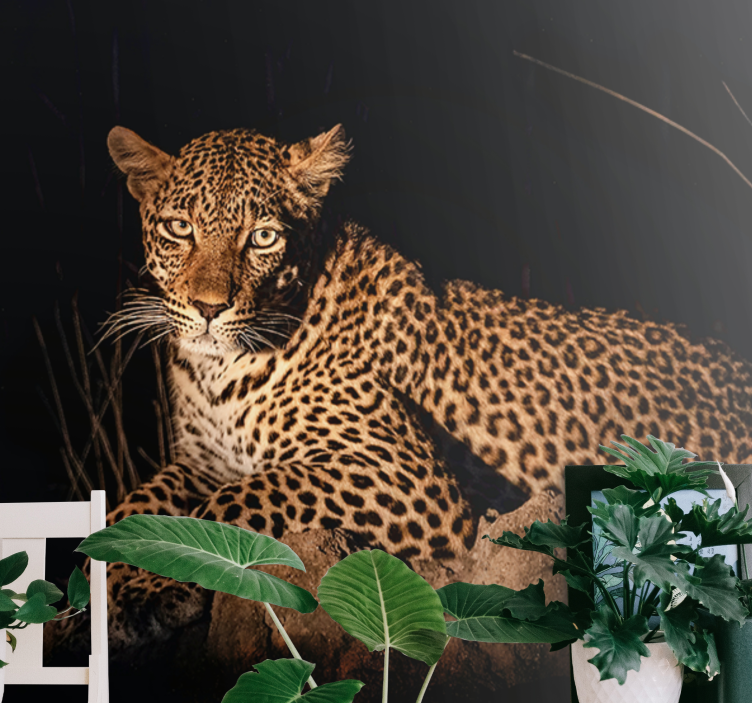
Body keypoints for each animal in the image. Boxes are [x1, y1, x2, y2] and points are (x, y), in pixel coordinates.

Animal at [50, 122, 752, 661]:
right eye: (178, 229)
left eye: (263, 237)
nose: (207, 308)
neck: (219, 372)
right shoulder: (200, 460)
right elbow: (136, 504)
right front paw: (83, 598)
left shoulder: (406, 476)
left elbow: (232, 503)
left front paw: (149, 593)